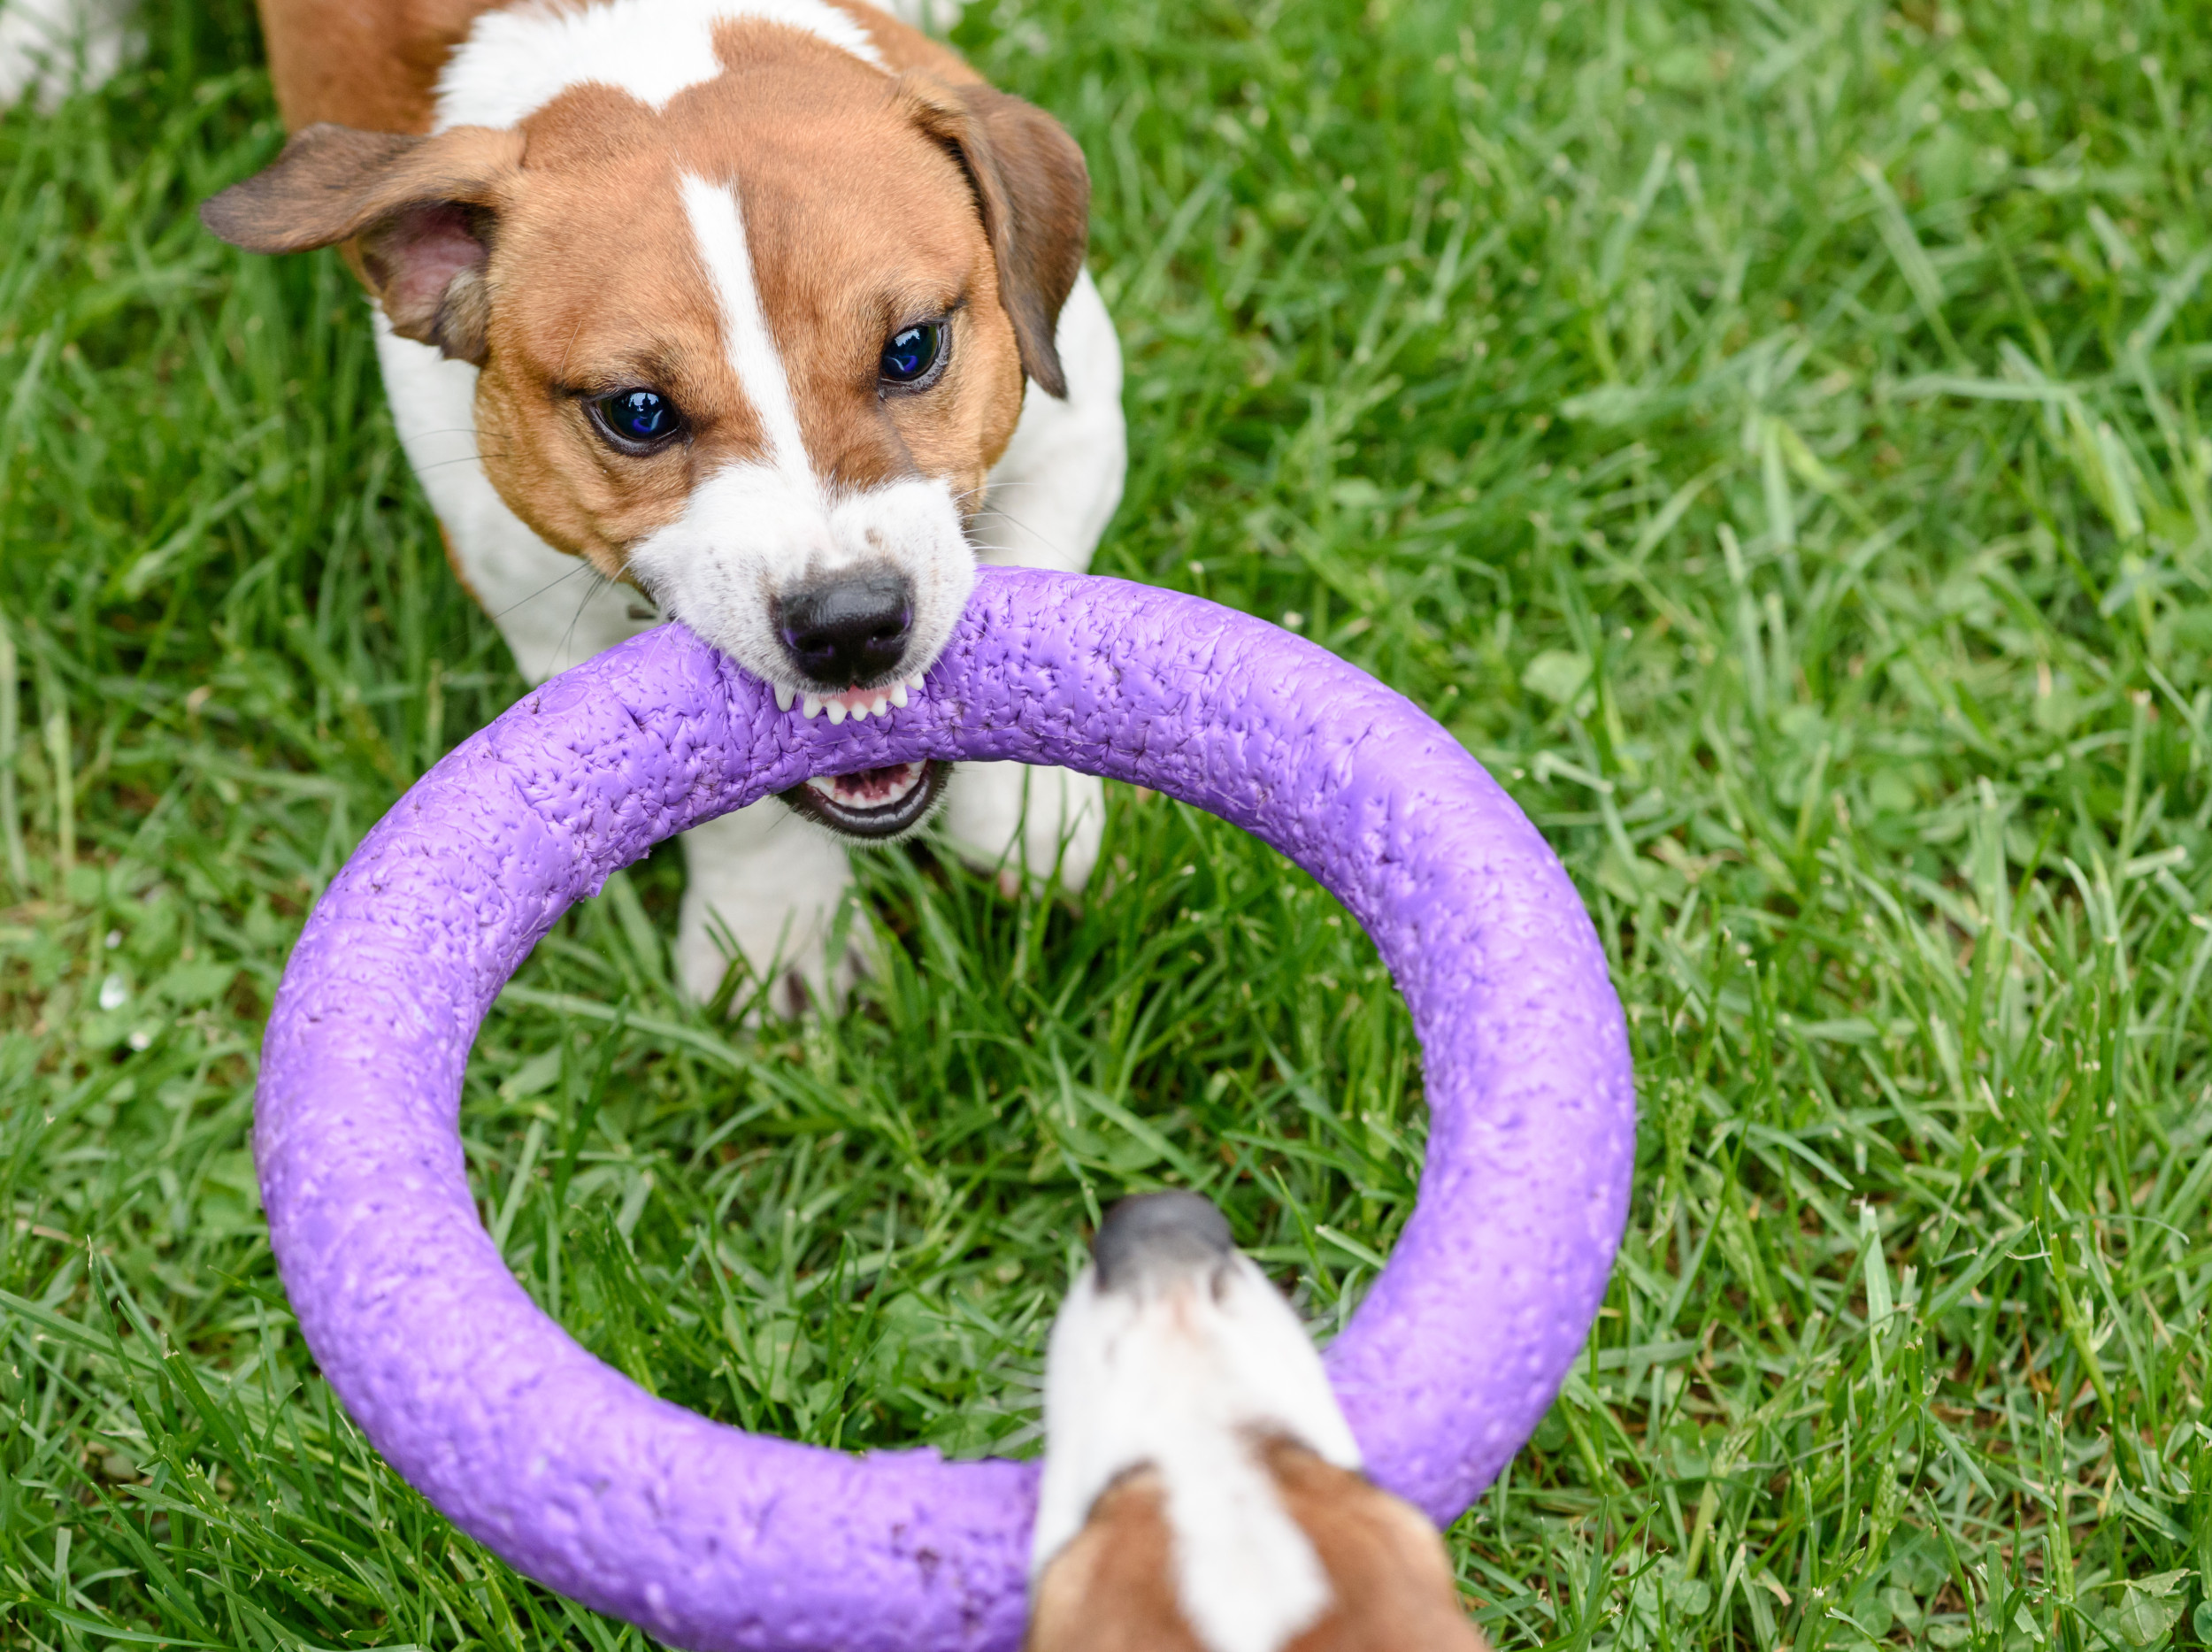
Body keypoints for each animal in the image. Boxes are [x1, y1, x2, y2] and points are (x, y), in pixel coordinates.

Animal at [8, 0, 1133, 1012]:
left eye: (911, 349)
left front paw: (1031, 810)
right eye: (637, 412)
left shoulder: (1078, 419)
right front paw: (778, 928)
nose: (850, 625)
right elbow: (728, 800)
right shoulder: (547, 617)